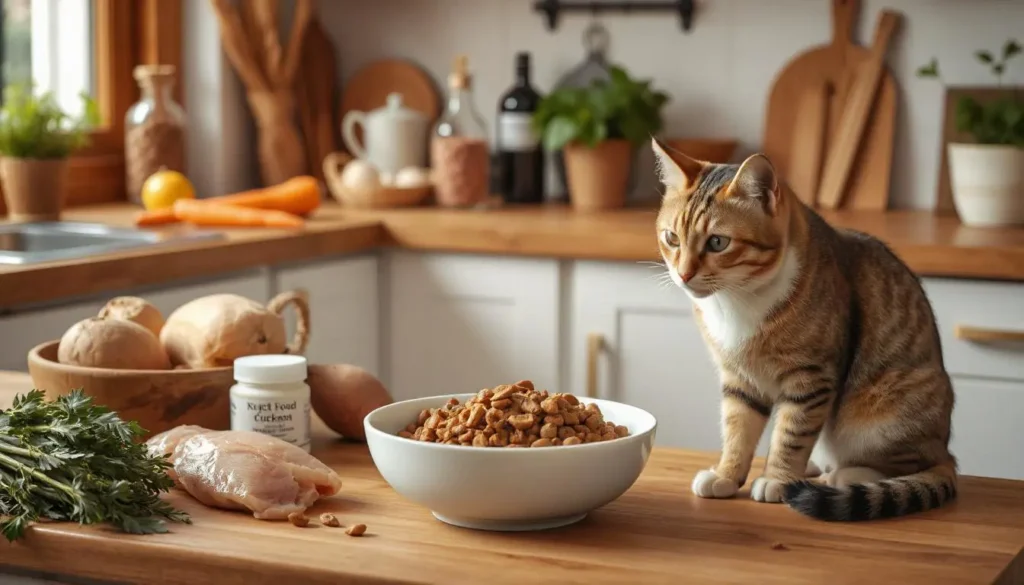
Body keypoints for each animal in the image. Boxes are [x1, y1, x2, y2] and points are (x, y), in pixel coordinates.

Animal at [655, 138, 958, 522]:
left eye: (718, 243)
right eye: (672, 238)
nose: (683, 274)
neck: (737, 301)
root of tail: (945, 449)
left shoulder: (810, 379)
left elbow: (791, 434)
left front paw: (777, 479)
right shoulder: (739, 379)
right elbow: (737, 429)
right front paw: (726, 475)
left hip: (883, 413)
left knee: (907, 465)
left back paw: (842, 475)